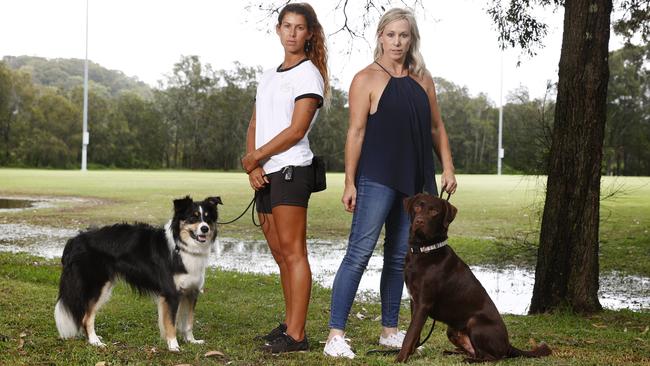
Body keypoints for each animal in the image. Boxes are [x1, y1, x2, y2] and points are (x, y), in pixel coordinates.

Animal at [54, 194, 220, 352]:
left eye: (207, 218)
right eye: (193, 217)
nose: (205, 229)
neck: (182, 246)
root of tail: (74, 240)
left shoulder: (192, 292)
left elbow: (188, 322)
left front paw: (191, 341)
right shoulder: (171, 293)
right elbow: (171, 323)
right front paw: (174, 346)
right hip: (97, 286)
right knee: (86, 317)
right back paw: (95, 341)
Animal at [394, 194, 548, 364]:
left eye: (434, 211)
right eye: (417, 207)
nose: (419, 221)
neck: (425, 250)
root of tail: (508, 345)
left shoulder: (423, 304)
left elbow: (410, 335)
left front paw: (400, 359)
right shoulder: (414, 301)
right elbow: (415, 335)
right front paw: (412, 354)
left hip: (474, 321)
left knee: (494, 357)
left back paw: (468, 360)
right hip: (452, 329)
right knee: (476, 352)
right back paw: (453, 352)